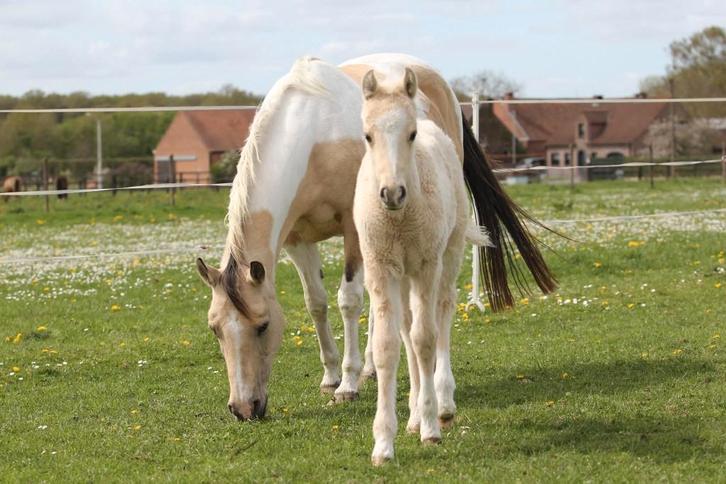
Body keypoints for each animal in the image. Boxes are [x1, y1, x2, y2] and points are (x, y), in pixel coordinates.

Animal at [195, 54, 556, 422]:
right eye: (215, 329)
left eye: (263, 326)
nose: (243, 408)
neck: (313, 135)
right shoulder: (298, 240)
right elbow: (317, 303)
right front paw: (331, 376)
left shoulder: (354, 231)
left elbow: (348, 301)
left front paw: (347, 385)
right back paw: (370, 368)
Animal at [354, 67, 496, 464]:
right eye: (368, 135)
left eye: (411, 134)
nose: (391, 193)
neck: (400, 219)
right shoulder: (381, 270)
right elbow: (389, 346)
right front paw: (384, 443)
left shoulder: (425, 266)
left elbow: (425, 338)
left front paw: (432, 427)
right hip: (403, 278)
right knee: (406, 328)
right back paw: (415, 413)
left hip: (447, 258)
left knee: (442, 314)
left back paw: (443, 404)